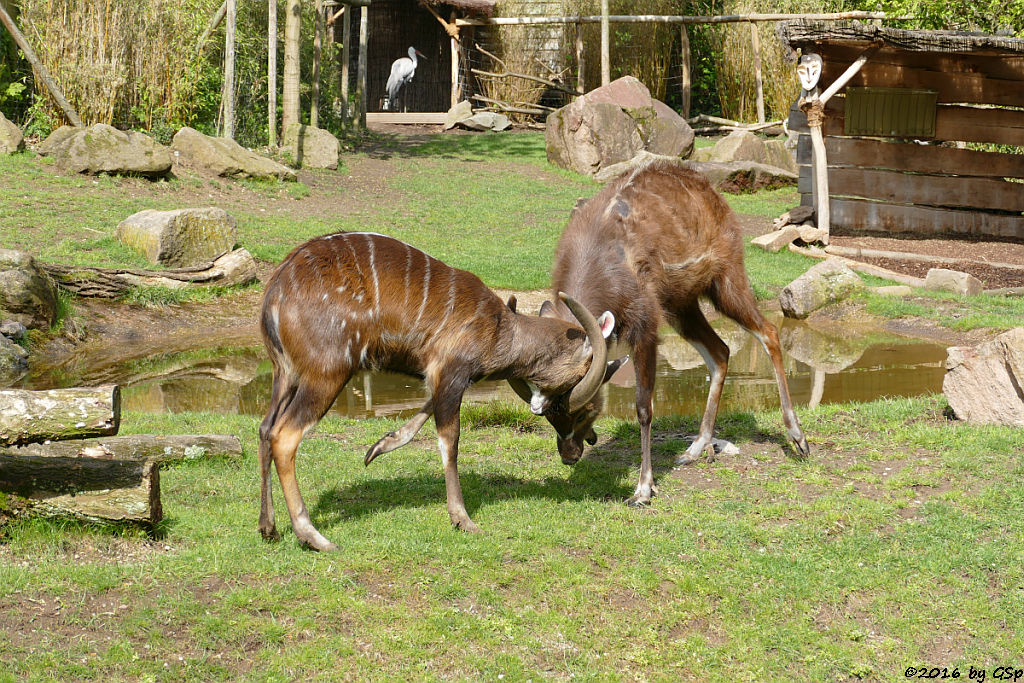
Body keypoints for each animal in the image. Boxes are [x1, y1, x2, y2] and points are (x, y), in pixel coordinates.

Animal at [260, 232, 618, 552]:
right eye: (583, 409)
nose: (580, 449)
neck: (501, 330)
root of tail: (275, 293)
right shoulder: (452, 374)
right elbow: (450, 442)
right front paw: (463, 519)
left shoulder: (438, 377)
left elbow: (419, 417)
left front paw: (377, 449)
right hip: (327, 374)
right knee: (284, 435)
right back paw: (313, 537)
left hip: (285, 376)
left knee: (265, 428)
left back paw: (269, 528)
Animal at [512, 160, 806, 507]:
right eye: (548, 416)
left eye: (585, 410)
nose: (569, 456)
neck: (601, 254)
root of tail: (711, 193)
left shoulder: (646, 330)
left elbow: (643, 407)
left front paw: (643, 489)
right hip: (682, 307)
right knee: (721, 351)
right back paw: (693, 450)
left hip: (726, 282)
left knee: (769, 332)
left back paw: (798, 439)